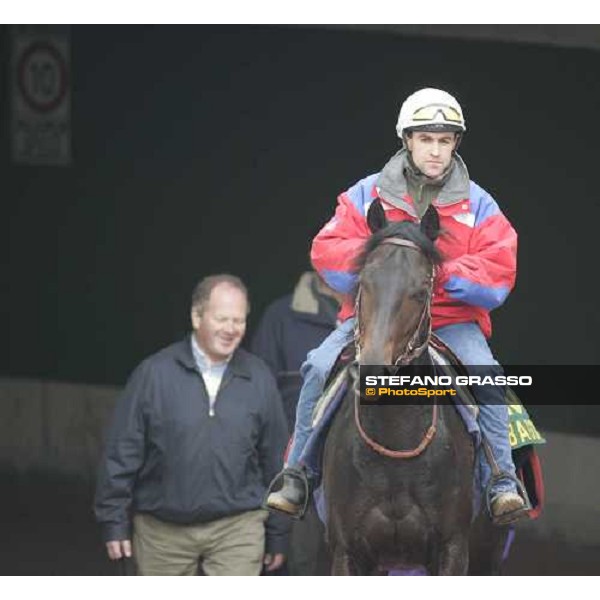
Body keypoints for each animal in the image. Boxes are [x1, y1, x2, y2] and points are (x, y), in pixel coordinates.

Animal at [322, 210, 508, 576]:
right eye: (364, 282)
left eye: (422, 292)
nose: (372, 371)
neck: (396, 444)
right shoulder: (346, 552)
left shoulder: (453, 550)